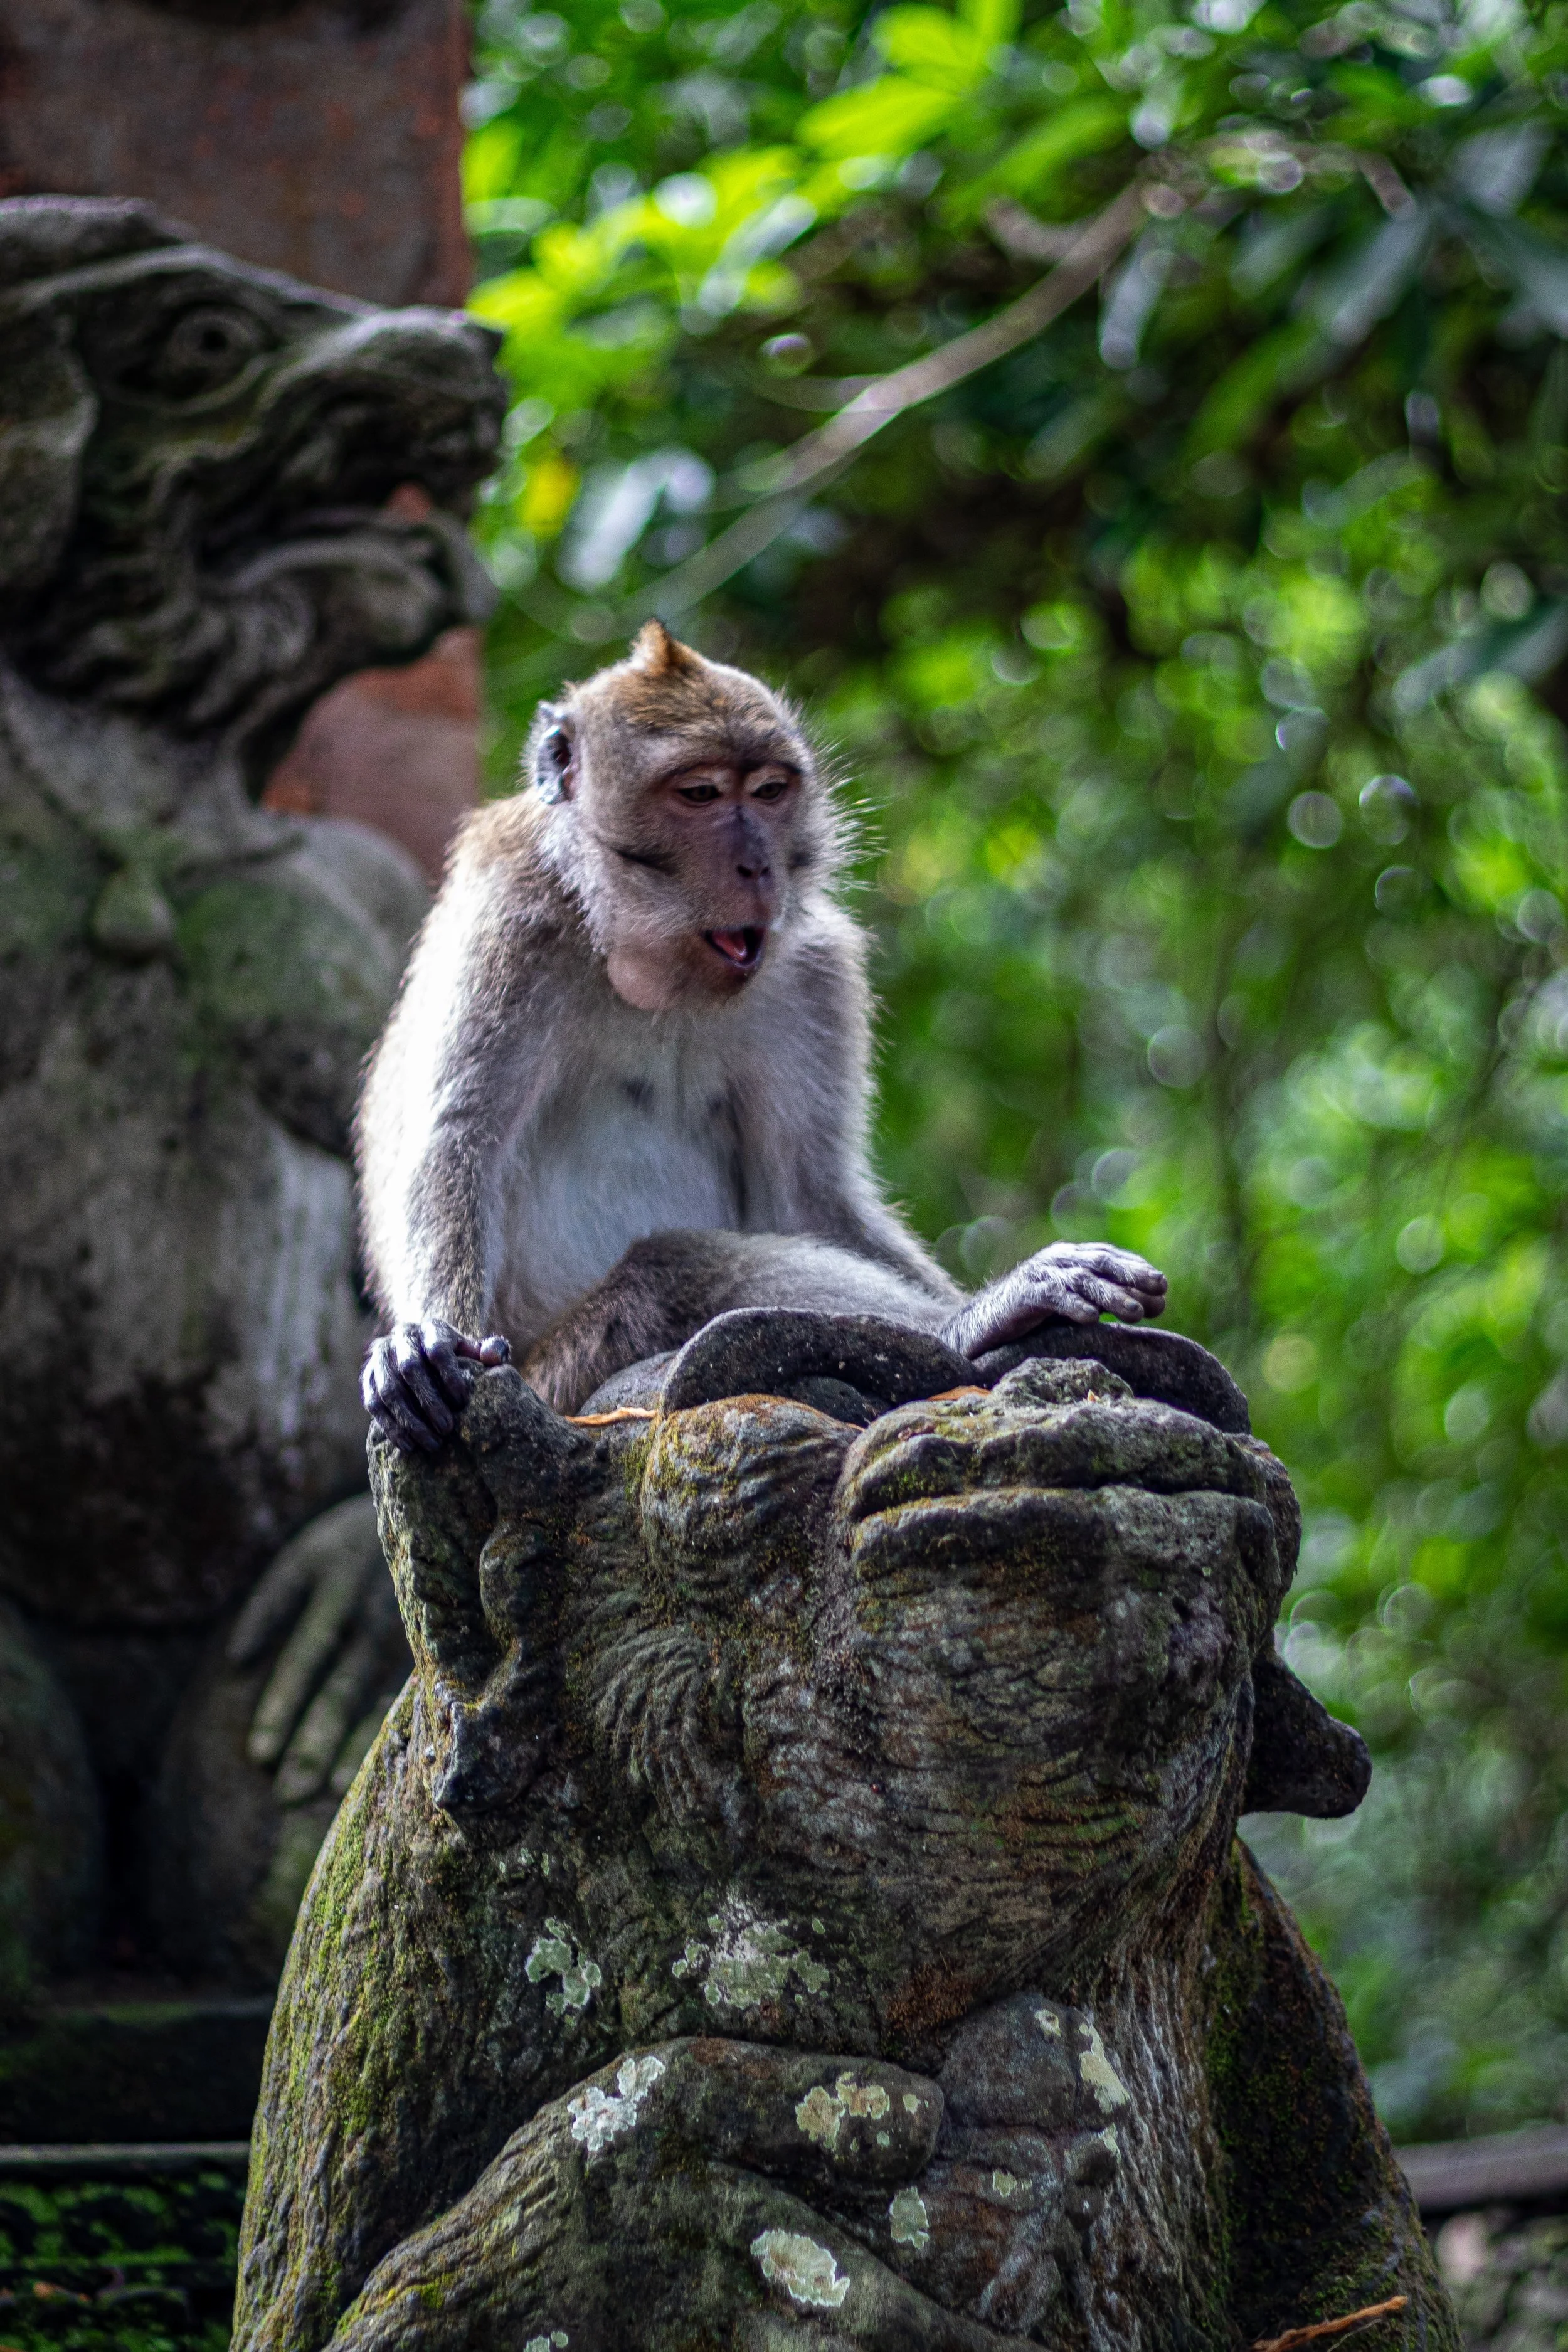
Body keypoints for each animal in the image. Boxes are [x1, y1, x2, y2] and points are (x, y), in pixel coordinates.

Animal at [356, 621, 1166, 1452]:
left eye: (769, 792)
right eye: (699, 794)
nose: (756, 866)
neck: (648, 964)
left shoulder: (812, 972)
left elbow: (807, 1191)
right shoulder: (511, 912)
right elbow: (460, 1138)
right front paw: (425, 1337)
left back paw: (986, 1315)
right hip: (562, 1376)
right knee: (674, 1272)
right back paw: (971, 1324)